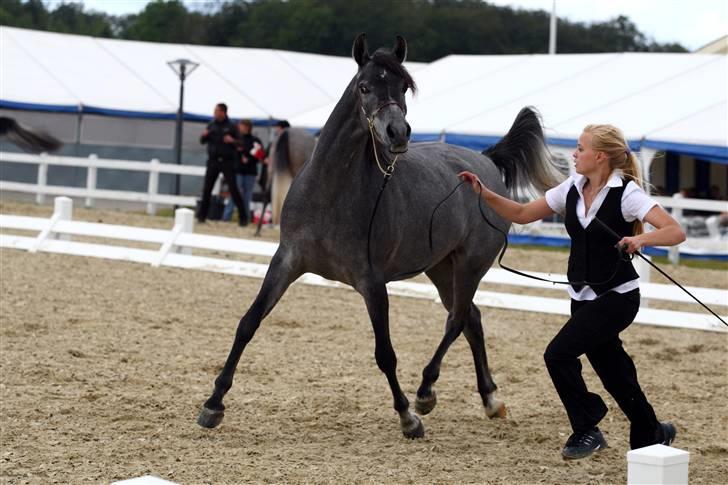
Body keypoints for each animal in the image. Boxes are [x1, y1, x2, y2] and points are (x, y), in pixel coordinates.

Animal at [199, 32, 564, 436]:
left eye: (404, 87)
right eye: (364, 87)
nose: (398, 133)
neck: (330, 193)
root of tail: (484, 162)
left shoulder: (372, 283)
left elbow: (385, 354)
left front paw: (407, 417)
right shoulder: (287, 262)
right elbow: (248, 324)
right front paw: (213, 404)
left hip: (471, 265)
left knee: (456, 320)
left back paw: (426, 392)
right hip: (442, 269)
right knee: (472, 319)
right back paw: (489, 399)